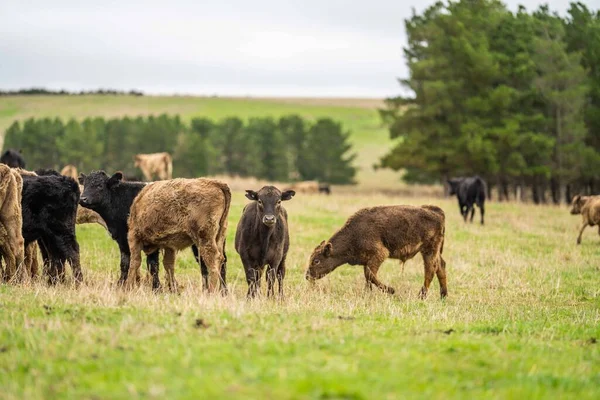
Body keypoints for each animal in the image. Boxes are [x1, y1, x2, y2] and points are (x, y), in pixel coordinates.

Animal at [310, 205, 446, 298]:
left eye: (316, 261)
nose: (307, 275)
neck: (354, 234)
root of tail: (437, 212)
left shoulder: (379, 254)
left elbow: (370, 275)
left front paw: (391, 290)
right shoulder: (367, 261)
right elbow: (368, 277)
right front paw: (367, 294)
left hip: (429, 250)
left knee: (430, 270)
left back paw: (421, 296)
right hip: (434, 251)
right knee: (441, 266)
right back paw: (443, 296)